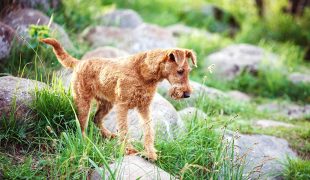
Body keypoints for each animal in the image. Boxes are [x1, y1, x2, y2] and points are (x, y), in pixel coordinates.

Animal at [40, 37, 196, 160]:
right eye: (180, 71)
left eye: (188, 71)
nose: (187, 94)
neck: (144, 73)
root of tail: (79, 63)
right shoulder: (123, 106)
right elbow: (124, 129)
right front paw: (128, 149)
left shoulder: (144, 107)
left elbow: (148, 130)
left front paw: (150, 153)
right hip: (84, 101)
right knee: (82, 124)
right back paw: (85, 142)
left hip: (106, 104)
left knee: (96, 119)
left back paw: (108, 135)